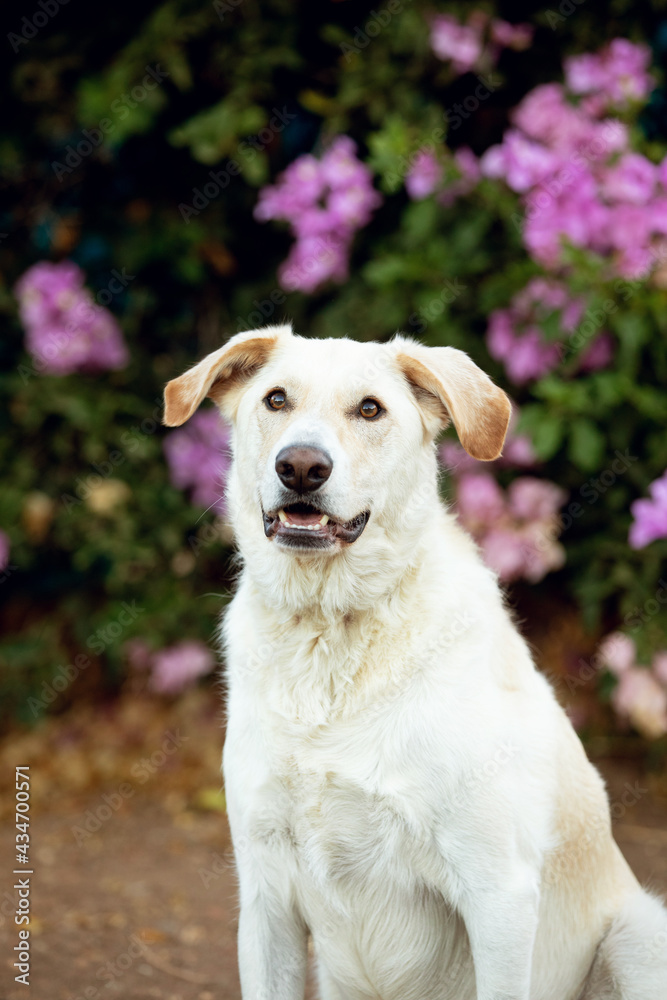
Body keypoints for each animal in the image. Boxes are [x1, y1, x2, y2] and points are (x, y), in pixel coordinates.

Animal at [163, 324, 667, 996]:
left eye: (370, 409)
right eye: (276, 400)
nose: (300, 467)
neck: (332, 631)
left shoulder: (498, 894)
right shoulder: (266, 900)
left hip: (638, 935)